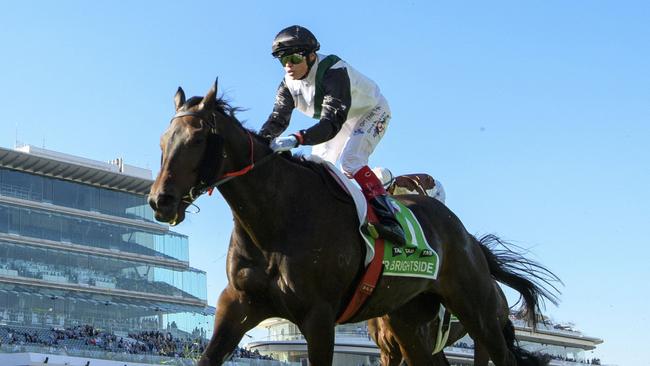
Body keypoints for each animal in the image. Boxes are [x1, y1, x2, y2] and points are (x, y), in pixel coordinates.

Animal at [147, 81, 556, 366]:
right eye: (163, 140)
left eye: (197, 138)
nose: (159, 200)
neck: (276, 219)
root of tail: (469, 239)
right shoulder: (239, 303)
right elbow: (208, 356)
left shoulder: (319, 316)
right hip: (410, 320)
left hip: (478, 313)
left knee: (502, 356)